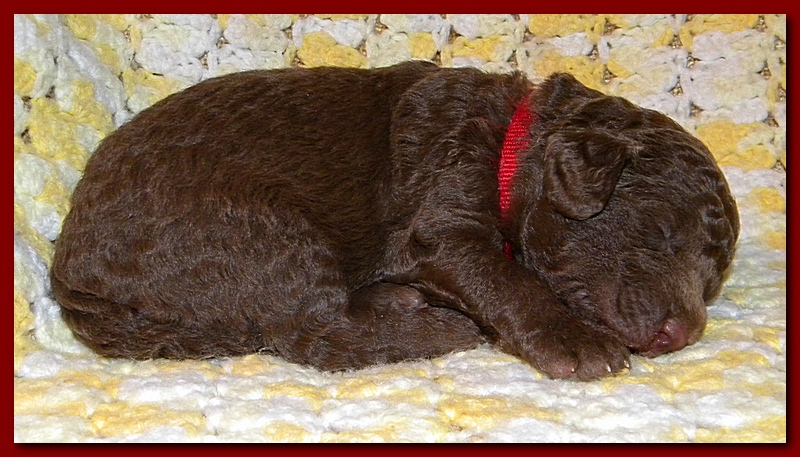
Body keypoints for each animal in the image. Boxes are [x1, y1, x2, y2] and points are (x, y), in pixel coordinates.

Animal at [50, 60, 740, 381]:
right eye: (662, 235)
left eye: (713, 281)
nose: (682, 335)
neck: (511, 144)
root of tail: (73, 284)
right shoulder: (443, 226)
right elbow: (509, 281)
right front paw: (574, 341)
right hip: (262, 225)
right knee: (312, 335)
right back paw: (437, 325)